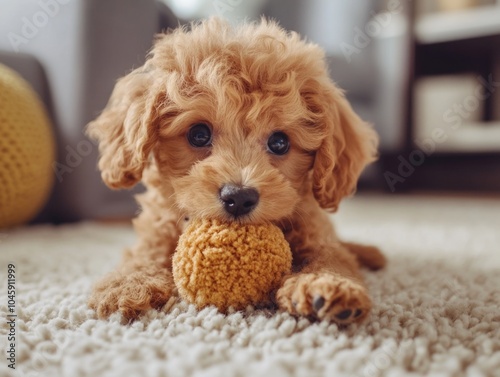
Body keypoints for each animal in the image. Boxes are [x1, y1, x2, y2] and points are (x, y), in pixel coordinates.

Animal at [86, 17, 384, 324]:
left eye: (280, 142)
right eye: (198, 135)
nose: (239, 197)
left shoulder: (316, 232)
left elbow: (333, 255)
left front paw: (326, 282)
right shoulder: (157, 230)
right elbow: (142, 255)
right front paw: (128, 284)